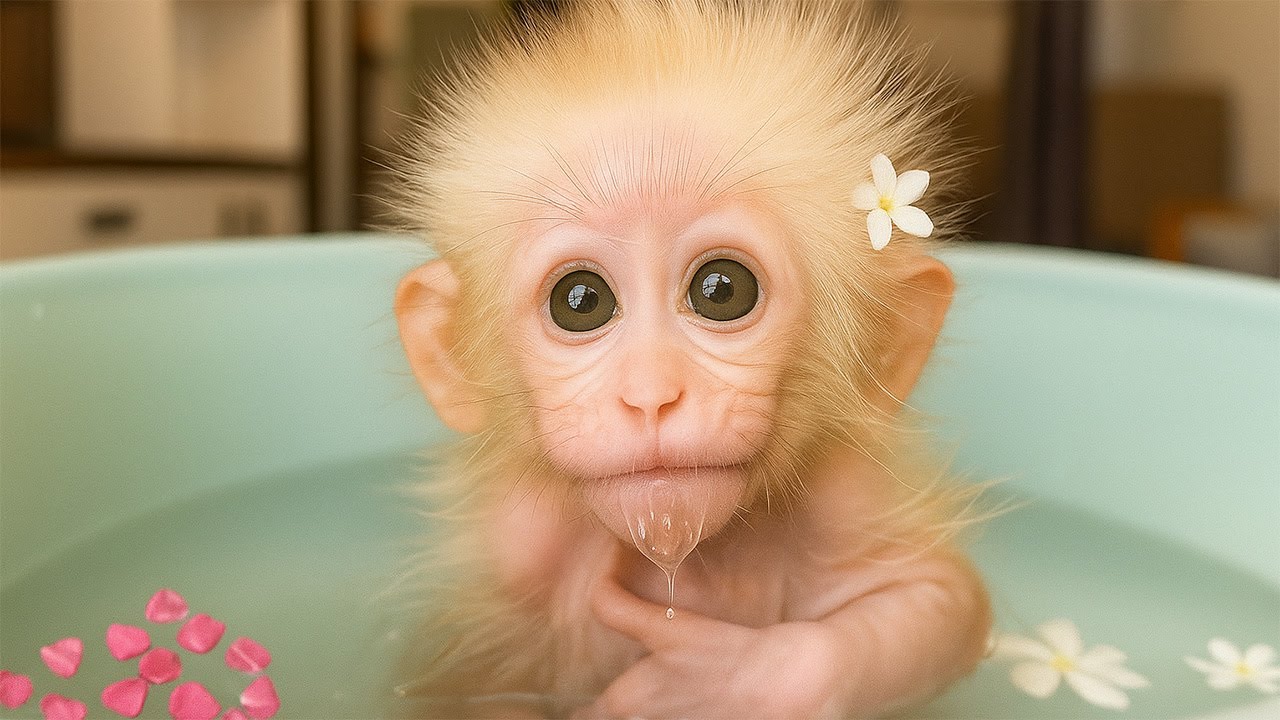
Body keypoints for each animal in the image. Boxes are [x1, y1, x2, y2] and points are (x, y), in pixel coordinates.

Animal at [390, 1, 991, 717]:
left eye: (722, 290)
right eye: (579, 300)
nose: (651, 395)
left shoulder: (850, 494)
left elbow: (944, 604)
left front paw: (725, 679)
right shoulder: (514, 545)